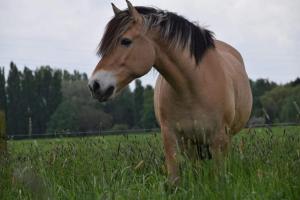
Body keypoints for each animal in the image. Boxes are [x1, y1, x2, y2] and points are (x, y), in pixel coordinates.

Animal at [87, 0, 253, 184]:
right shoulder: (171, 138)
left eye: (125, 41)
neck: (192, 89)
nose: (95, 85)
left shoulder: (218, 139)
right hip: (191, 144)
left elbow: (219, 178)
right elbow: (174, 180)